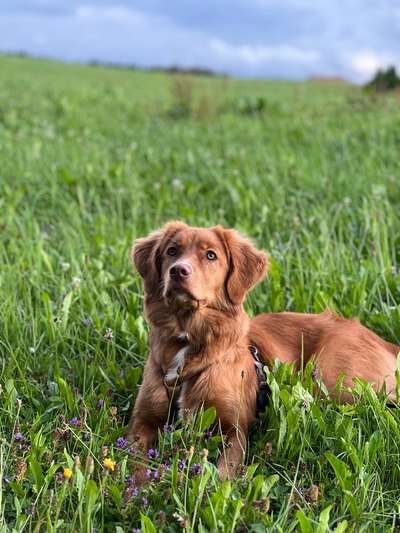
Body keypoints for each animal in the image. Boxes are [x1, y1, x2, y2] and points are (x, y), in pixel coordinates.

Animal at [126, 220, 398, 478]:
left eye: (211, 255)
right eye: (172, 251)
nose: (179, 270)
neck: (189, 338)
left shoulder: (234, 429)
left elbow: (223, 474)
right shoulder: (142, 422)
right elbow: (133, 462)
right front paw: (139, 486)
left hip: (334, 378)